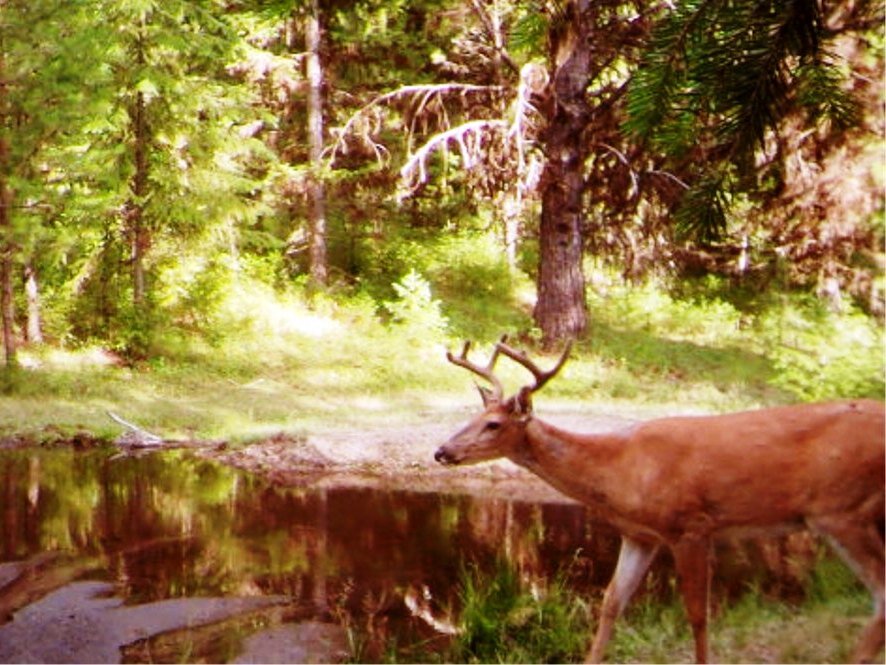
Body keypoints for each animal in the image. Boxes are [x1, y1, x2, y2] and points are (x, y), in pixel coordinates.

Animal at [434, 338, 884, 664]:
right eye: (472, 417)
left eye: (494, 424)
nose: (441, 451)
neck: (621, 468)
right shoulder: (640, 535)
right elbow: (611, 603)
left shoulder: (691, 525)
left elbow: (697, 614)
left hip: (842, 510)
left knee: (881, 591)